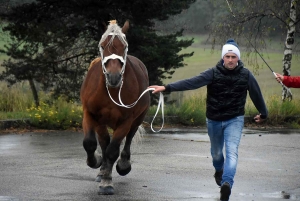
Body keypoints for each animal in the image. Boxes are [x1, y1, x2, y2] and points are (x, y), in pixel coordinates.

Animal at [80, 20, 149, 195]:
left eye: (124, 46)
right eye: (103, 45)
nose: (114, 76)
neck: (111, 89)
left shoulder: (126, 120)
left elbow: (112, 151)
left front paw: (107, 183)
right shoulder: (90, 114)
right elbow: (90, 143)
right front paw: (97, 162)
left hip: (137, 119)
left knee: (128, 138)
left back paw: (123, 164)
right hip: (101, 122)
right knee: (103, 141)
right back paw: (102, 169)